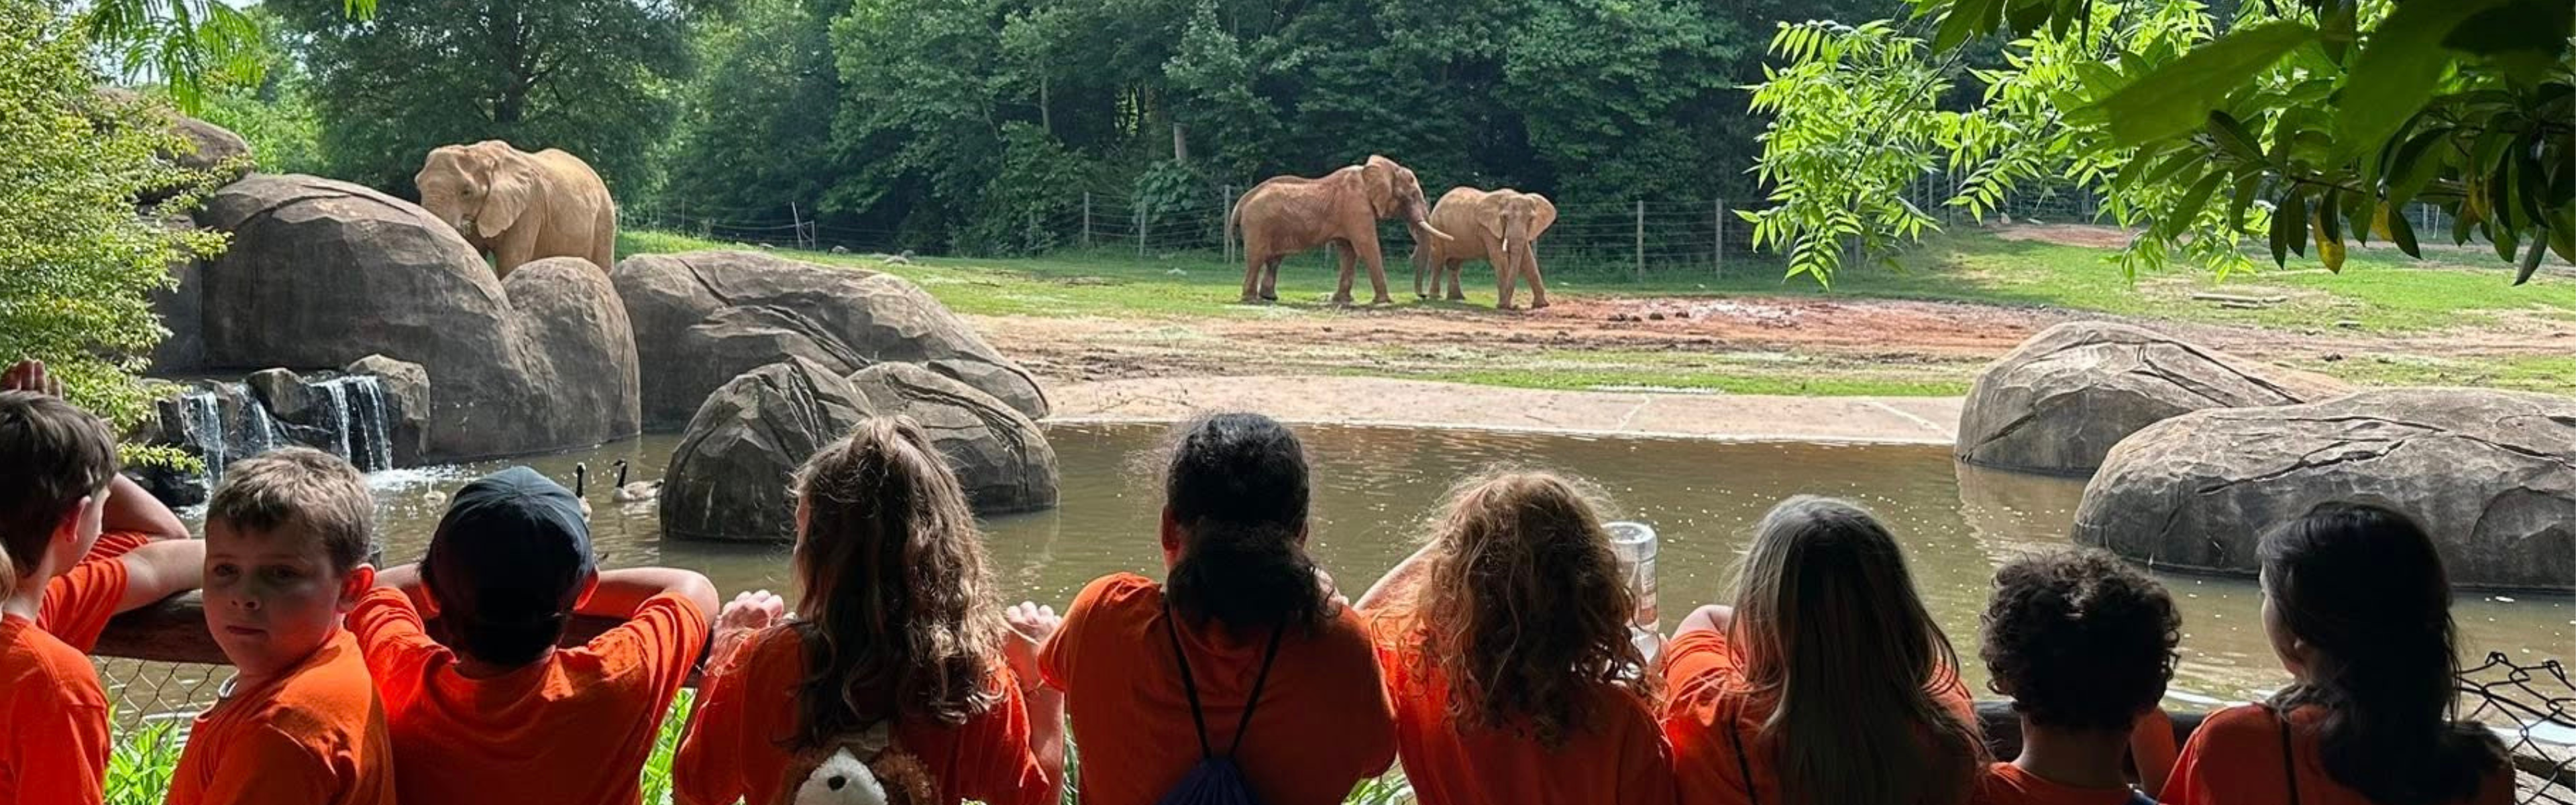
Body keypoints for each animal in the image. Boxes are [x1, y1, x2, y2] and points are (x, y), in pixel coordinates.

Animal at [415, 141, 617, 278]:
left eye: (466, 192)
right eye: (418, 185)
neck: (484, 154)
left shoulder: (529, 207)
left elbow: (510, 261)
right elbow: (475, 252)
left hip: (605, 217)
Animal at [1226, 155, 1454, 305]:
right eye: (1412, 195)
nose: (1422, 296)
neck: (1379, 169)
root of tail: (1242, 201)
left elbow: (1348, 253)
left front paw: (1343, 300)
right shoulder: (1356, 206)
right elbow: (1367, 247)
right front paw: (1385, 302)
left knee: (1274, 259)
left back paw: (1269, 298)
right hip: (1258, 224)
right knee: (1257, 258)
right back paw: (1251, 300)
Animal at [1412, 187, 1558, 310]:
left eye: (1531, 219)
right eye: (1504, 217)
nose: (1515, 306)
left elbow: (1528, 260)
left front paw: (1542, 305)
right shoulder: (1488, 228)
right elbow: (1500, 259)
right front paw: (1503, 306)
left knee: (1455, 264)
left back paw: (1457, 298)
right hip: (1437, 226)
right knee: (1439, 261)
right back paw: (1436, 298)